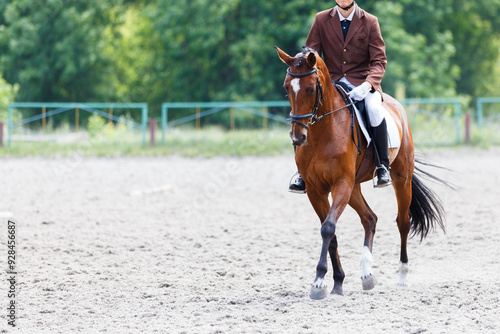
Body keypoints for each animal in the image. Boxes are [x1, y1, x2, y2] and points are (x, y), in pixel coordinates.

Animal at [278, 45, 446, 298]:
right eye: (287, 87)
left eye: (310, 89)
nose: (298, 137)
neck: (322, 132)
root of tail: (396, 106)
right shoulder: (316, 190)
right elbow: (331, 233)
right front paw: (336, 282)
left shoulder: (341, 183)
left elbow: (328, 228)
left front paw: (319, 282)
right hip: (354, 187)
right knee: (370, 218)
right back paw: (367, 275)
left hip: (400, 178)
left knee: (403, 222)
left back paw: (402, 276)